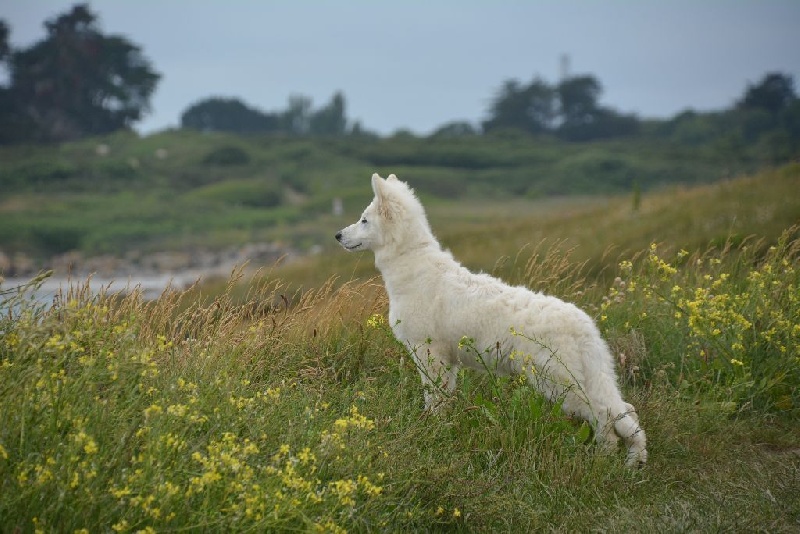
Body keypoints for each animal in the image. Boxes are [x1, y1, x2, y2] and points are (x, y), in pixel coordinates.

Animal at [334, 174, 648, 466]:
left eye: (364, 220)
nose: (337, 235)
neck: (413, 265)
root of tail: (584, 327)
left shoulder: (428, 354)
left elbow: (433, 398)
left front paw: (430, 429)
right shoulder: (447, 361)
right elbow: (444, 398)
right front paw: (441, 426)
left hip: (558, 383)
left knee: (604, 418)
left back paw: (603, 460)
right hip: (586, 378)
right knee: (625, 411)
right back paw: (633, 462)